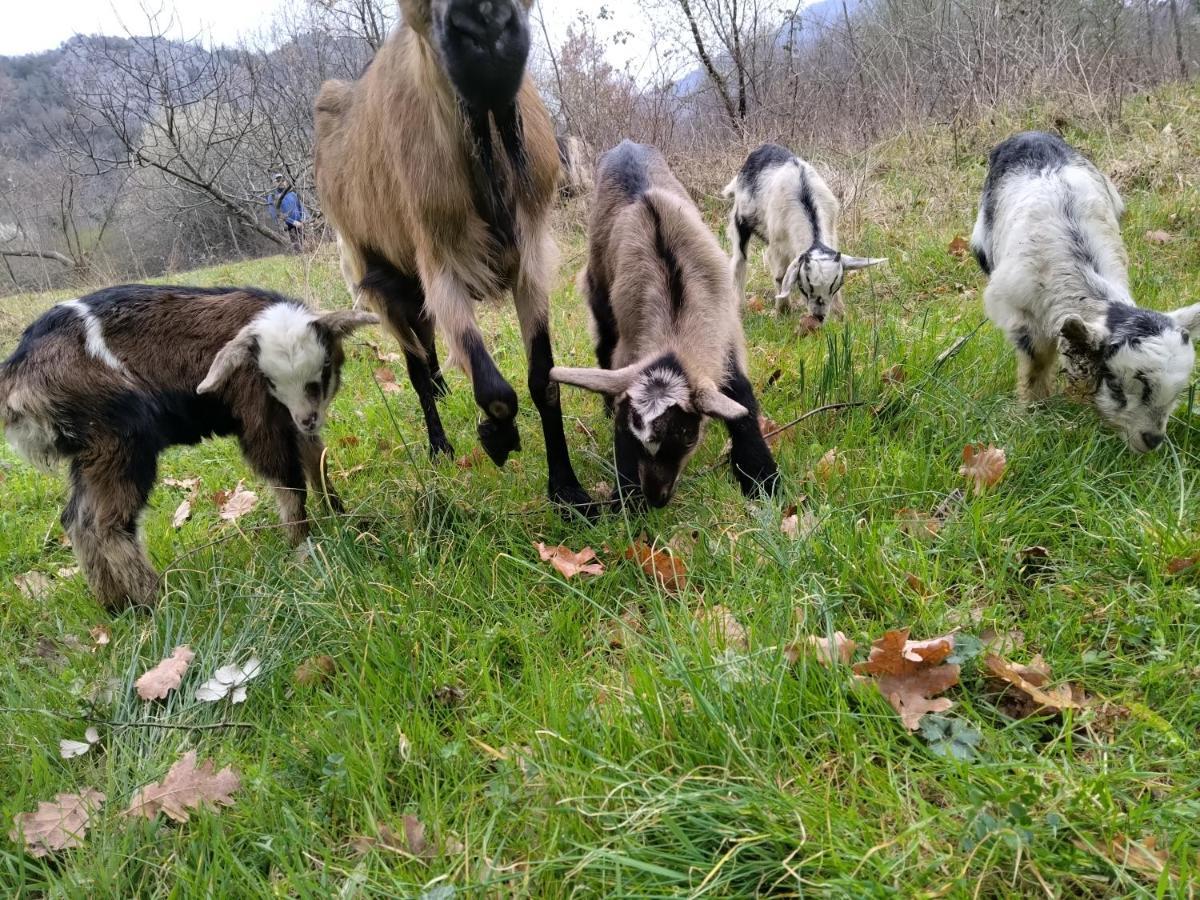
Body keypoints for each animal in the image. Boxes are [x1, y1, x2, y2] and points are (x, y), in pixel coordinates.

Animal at [0, 285, 374, 609]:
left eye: (324, 368)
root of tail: (17, 377)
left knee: (75, 519)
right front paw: (302, 548)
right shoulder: (259, 415)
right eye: (268, 379)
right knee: (103, 523)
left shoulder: (294, 421)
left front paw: (341, 516)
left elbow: (316, 460)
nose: (309, 418)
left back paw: (116, 605)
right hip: (121, 438)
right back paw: (158, 601)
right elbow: (289, 482)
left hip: (91, 450)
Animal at [314, 0, 595, 518]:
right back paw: (439, 447)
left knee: (426, 355)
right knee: (415, 369)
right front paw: (496, 436)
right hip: (381, 281)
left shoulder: (530, 257)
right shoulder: (438, 263)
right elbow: (495, 392)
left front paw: (569, 493)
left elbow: (544, 381)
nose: (486, 28)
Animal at [549, 140, 777, 508]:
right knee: (603, 342)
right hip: (598, 287)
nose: (656, 498)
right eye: (627, 436)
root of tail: (626, 144)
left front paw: (762, 479)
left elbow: (742, 397)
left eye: (686, 435)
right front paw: (626, 501)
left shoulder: (725, 337)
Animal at [720, 143, 883, 321]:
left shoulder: (831, 232)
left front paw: (839, 314)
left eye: (837, 286)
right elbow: (780, 276)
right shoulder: (777, 246)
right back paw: (740, 306)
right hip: (740, 219)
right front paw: (783, 311)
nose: (819, 316)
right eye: (806, 287)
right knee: (739, 259)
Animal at [969, 130, 1200, 453]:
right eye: (1115, 384)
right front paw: (1033, 412)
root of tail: (1030, 134)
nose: (1152, 440)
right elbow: (1036, 364)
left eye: (1178, 391)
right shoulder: (1020, 315)